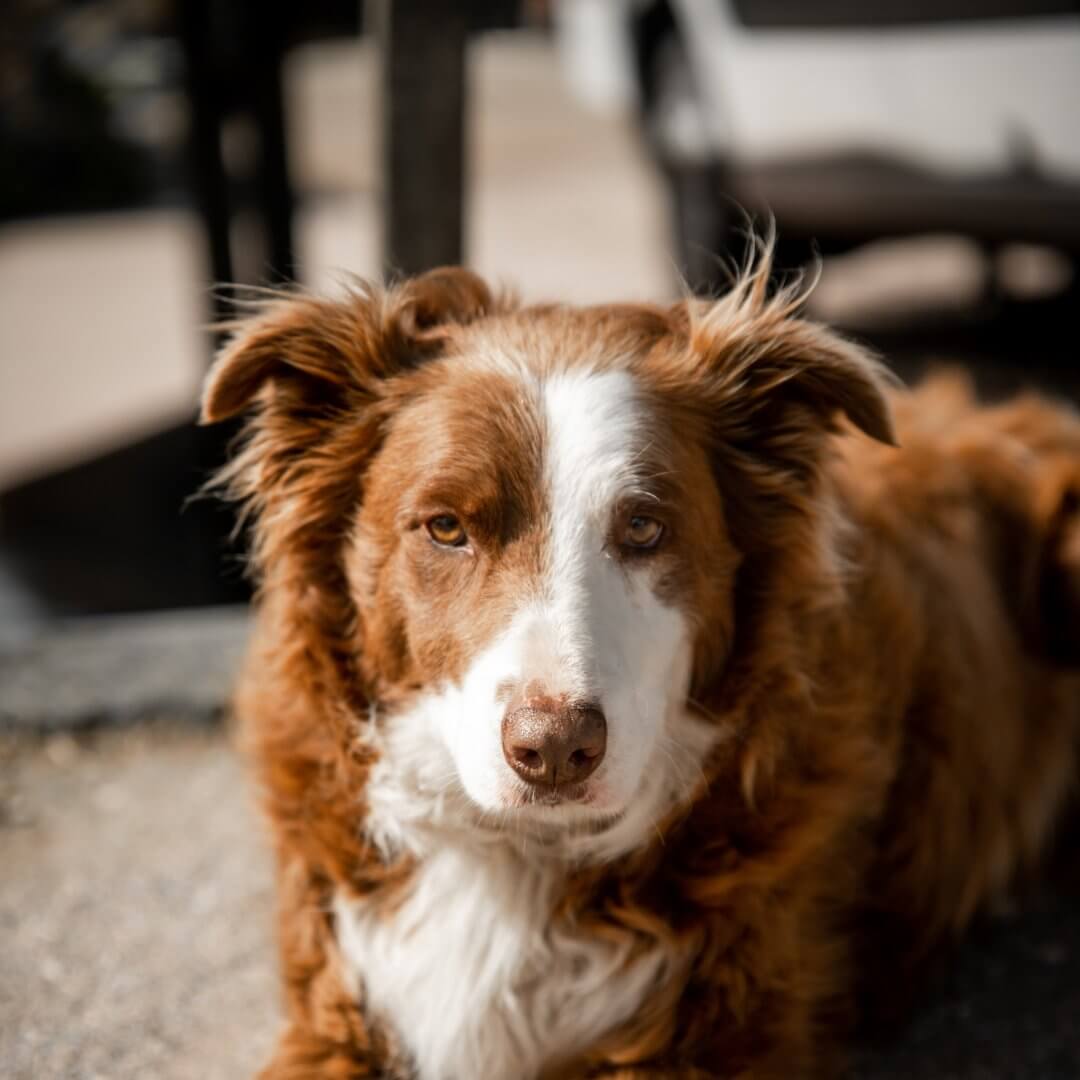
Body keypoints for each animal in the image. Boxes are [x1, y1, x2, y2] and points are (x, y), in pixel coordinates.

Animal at [203, 252, 1080, 1080]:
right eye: (446, 527)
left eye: (645, 529)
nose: (555, 749)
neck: (523, 855)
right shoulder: (336, 1017)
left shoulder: (705, 1044)